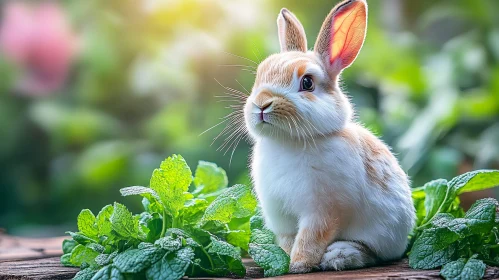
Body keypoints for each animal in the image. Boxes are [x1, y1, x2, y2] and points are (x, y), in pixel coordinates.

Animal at [243, 0, 418, 274]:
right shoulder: (281, 215)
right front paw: (284, 259)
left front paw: (298, 265)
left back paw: (339, 256)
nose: (261, 104)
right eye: (260, 75)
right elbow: (287, 240)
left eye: (307, 83)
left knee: (372, 253)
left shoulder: (324, 211)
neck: (289, 142)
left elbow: (309, 239)